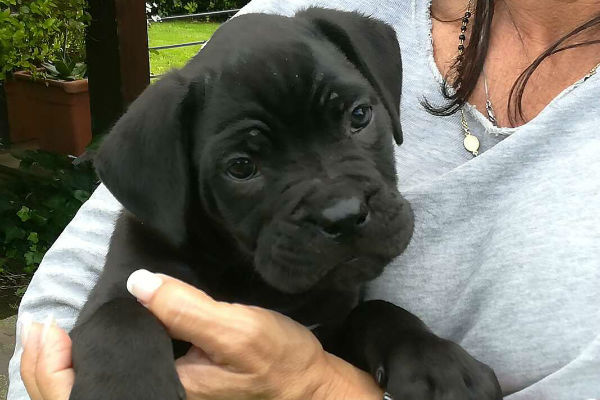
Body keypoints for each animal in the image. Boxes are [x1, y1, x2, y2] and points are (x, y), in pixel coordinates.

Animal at [69, 7, 502, 400]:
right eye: (241, 167)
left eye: (359, 115)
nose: (344, 216)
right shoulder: (133, 279)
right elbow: (120, 319)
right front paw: (128, 387)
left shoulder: (335, 322)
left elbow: (377, 310)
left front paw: (436, 362)